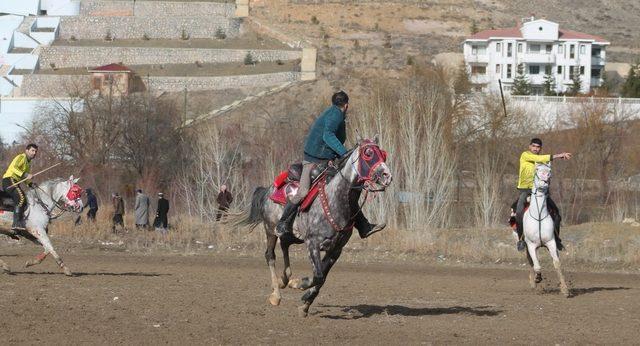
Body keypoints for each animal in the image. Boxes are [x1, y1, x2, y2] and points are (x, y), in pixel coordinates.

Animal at [239, 137, 392, 318]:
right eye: (368, 153)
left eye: (382, 154)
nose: (387, 176)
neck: (336, 201)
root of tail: (268, 190)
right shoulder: (313, 243)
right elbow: (318, 275)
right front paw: (298, 284)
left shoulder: (336, 250)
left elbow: (323, 277)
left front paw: (305, 303)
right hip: (270, 230)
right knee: (270, 255)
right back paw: (276, 294)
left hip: (293, 235)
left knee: (285, 245)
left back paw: (285, 279)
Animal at [524, 163, 568, 298]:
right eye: (537, 170)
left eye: (549, 171)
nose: (544, 181)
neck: (538, 216)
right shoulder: (531, 245)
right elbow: (537, 266)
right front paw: (537, 278)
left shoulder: (551, 242)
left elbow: (557, 263)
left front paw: (565, 289)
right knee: (531, 261)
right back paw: (533, 282)